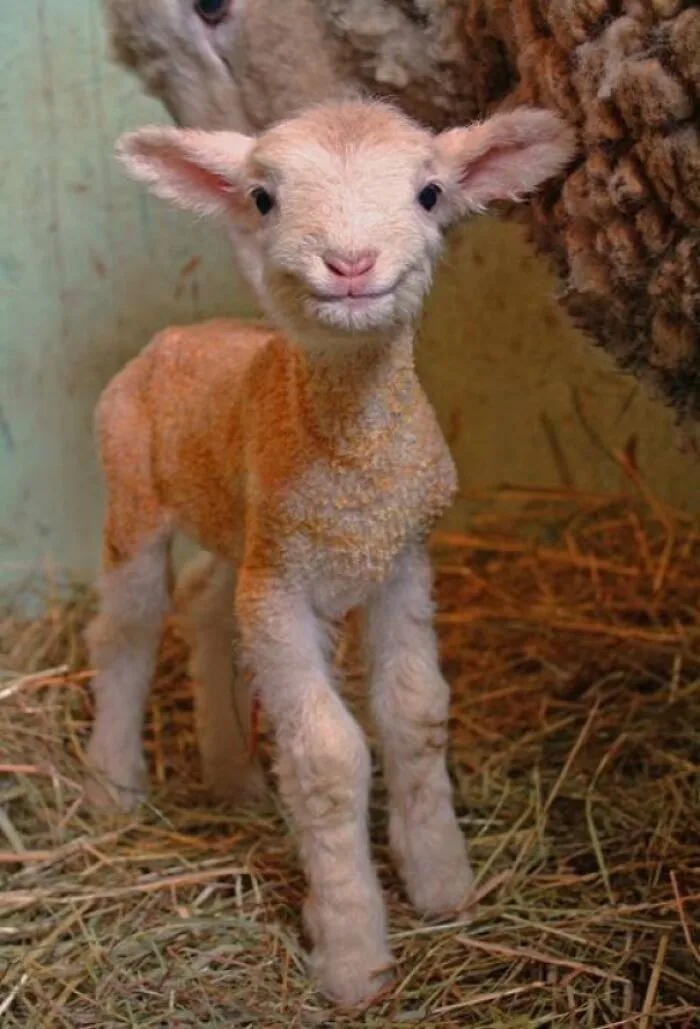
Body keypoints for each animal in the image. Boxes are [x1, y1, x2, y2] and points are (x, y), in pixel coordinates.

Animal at [85, 98, 574, 1006]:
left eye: (429, 192)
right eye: (263, 197)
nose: (350, 263)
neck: (352, 463)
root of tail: (177, 334)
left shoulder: (399, 564)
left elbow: (416, 713)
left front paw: (442, 882)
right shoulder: (283, 591)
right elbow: (328, 755)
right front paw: (352, 952)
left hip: (240, 525)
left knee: (205, 600)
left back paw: (232, 772)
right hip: (134, 489)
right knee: (126, 631)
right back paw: (113, 785)